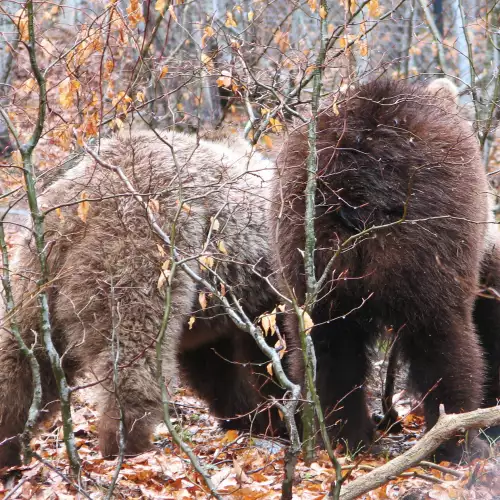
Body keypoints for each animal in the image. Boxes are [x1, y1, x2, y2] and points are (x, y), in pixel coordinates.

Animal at [0, 128, 282, 464]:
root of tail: (80, 200)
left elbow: (220, 369)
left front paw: (249, 420)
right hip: (146, 242)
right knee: (134, 350)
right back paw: (127, 444)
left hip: (37, 271)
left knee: (24, 355)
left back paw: (7, 442)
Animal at [274, 79, 496, 464]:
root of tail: (356, 182)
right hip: (428, 238)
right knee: (443, 338)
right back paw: (458, 440)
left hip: (306, 249)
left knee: (325, 347)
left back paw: (345, 436)